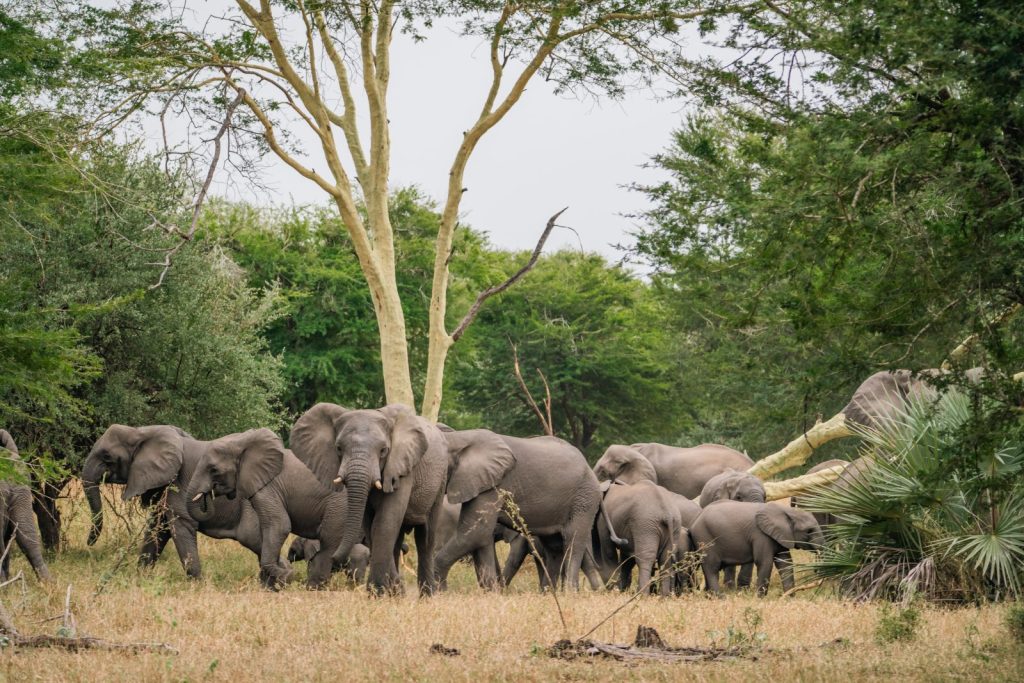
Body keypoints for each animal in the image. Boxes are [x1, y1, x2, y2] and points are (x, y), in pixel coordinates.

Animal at [82, 424, 271, 580]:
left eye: (107, 456)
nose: (89, 543)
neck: (141, 432)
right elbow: (157, 528)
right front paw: (139, 579)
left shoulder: (177, 484)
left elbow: (180, 526)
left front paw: (197, 585)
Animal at [184, 428, 345, 590]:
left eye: (213, 470)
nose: (208, 493)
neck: (242, 441)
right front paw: (274, 584)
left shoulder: (268, 487)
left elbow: (279, 525)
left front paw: (286, 577)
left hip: (337, 506)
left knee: (329, 541)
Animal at [289, 403, 448, 595]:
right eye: (339, 448)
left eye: (384, 450)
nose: (334, 558)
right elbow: (371, 525)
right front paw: (383, 592)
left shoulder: (402, 468)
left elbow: (384, 521)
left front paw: (378, 593)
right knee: (397, 540)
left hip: (440, 482)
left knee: (425, 538)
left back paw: (426, 596)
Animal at [433, 430, 600, 591]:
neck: (458, 438)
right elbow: (480, 535)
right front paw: (492, 592)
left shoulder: (493, 484)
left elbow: (476, 532)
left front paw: (440, 591)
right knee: (554, 546)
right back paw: (548, 593)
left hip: (584, 499)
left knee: (573, 541)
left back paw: (569, 593)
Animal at [689, 501, 824, 595]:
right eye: (809, 531)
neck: (786, 511)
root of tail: (695, 520)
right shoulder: (760, 535)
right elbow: (765, 562)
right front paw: (760, 598)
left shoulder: (781, 535)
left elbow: (785, 563)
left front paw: (789, 597)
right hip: (705, 538)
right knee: (712, 568)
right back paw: (720, 597)